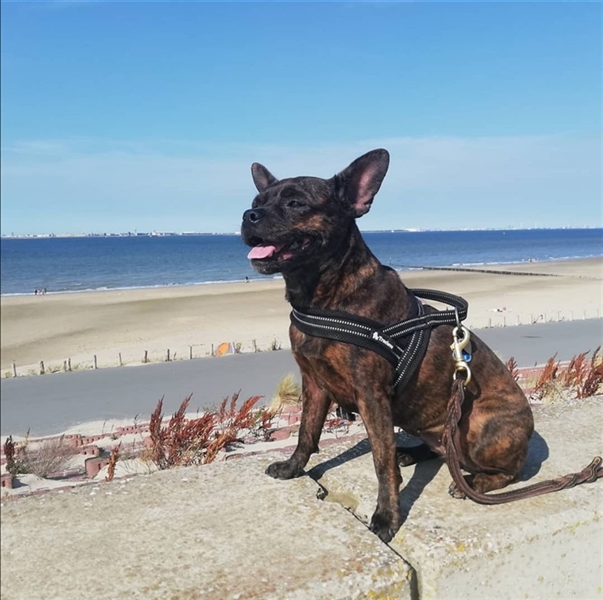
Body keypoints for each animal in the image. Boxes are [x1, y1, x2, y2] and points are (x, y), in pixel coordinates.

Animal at [241, 149, 534, 543]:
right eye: (257, 202)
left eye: (295, 203)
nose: (249, 215)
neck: (322, 296)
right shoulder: (314, 385)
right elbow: (306, 433)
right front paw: (292, 467)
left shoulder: (371, 396)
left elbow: (382, 464)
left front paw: (386, 517)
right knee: (441, 450)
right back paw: (413, 453)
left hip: (475, 428)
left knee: (511, 471)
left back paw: (475, 481)